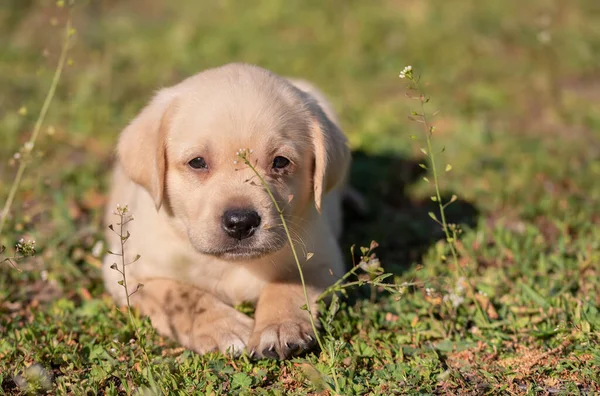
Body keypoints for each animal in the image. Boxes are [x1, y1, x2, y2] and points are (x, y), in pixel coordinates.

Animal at [101, 62, 350, 358]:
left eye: (280, 162)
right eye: (197, 162)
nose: (241, 222)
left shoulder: (323, 261)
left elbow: (290, 283)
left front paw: (279, 326)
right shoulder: (128, 272)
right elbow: (181, 295)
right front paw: (225, 328)